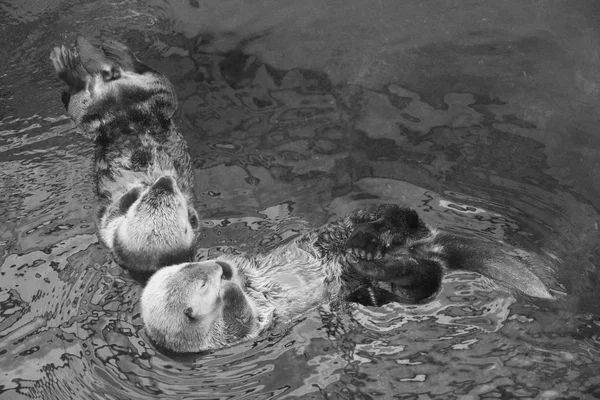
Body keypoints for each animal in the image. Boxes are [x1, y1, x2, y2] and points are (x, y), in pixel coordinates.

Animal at [49, 37, 199, 274]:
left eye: (176, 202)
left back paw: (68, 64)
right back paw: (114, 49)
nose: (164, 180)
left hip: (90, 113)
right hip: (157, 92)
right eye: (144, 200)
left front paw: (131, 192)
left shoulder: (107, 226)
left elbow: (109, 215)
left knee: (80, 91)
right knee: (141, 68)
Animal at [141, 205, 552, 352]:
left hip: (362, 222)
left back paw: (367, 243)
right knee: (424, 280)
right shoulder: (236, 334)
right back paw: (372, 275)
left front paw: (230, 265)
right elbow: (244, 316)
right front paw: (230, 288)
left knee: (397, 216)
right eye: (203, 285)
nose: (220, 272)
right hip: (411, 280)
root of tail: (422, 247)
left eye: (195, 271)